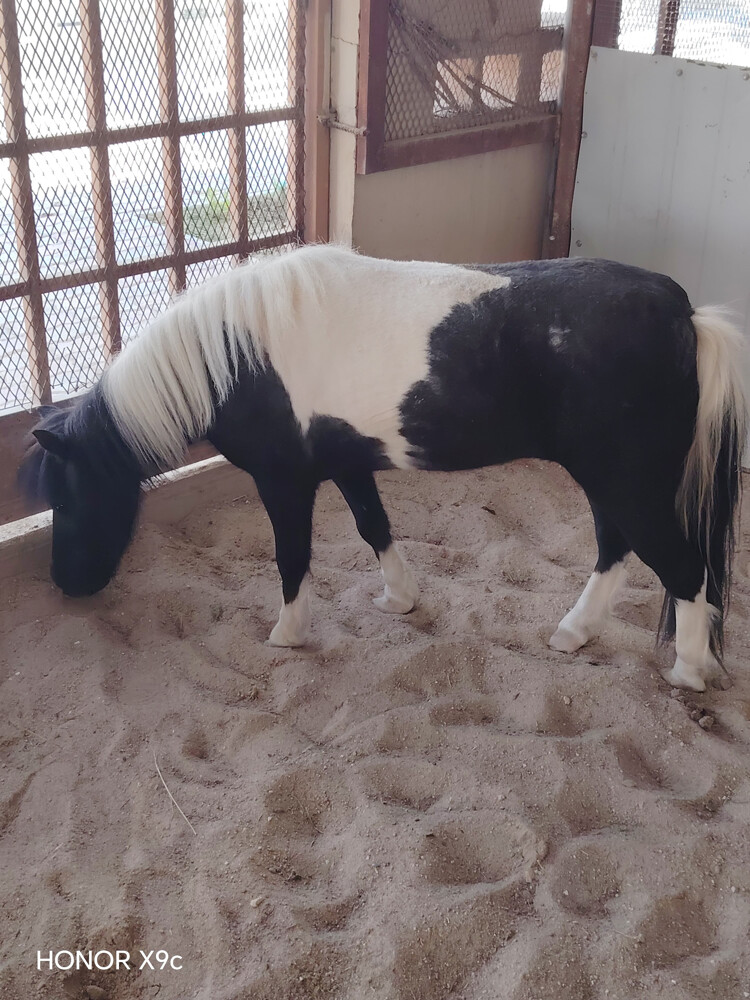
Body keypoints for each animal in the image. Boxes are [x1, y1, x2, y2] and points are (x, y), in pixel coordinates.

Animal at [19, 244, 747, 692]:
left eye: (70, 496)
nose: (66, 584)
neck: (239, 352)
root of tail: (683, 312)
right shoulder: (348, 465)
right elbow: (376, 528)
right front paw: (401, 599)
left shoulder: (284, 482)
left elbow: (292, 557)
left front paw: (287, 635)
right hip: (609, 482)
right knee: (615, 551)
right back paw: (574, 633)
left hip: (628, 482)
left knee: (683, 570)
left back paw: (688, 672)